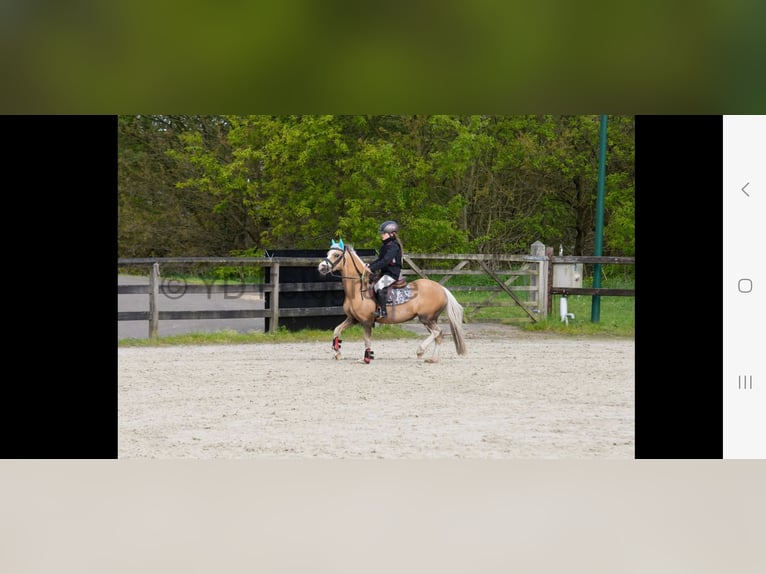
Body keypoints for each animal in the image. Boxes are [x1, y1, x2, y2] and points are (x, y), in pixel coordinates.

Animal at [318, 241, 468, 362]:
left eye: (336, 255)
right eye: (328, 253)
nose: (321, 267)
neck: (357, 289)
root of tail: (441, 288)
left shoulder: (366, 321)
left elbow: (367, 341)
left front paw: (366, 358)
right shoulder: (352, 319)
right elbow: (336, 331)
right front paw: (337, 353)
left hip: (426, 318)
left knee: (437, 332)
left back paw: (420, 350)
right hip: (430, 319)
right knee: (438, 335)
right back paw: (433, 359)